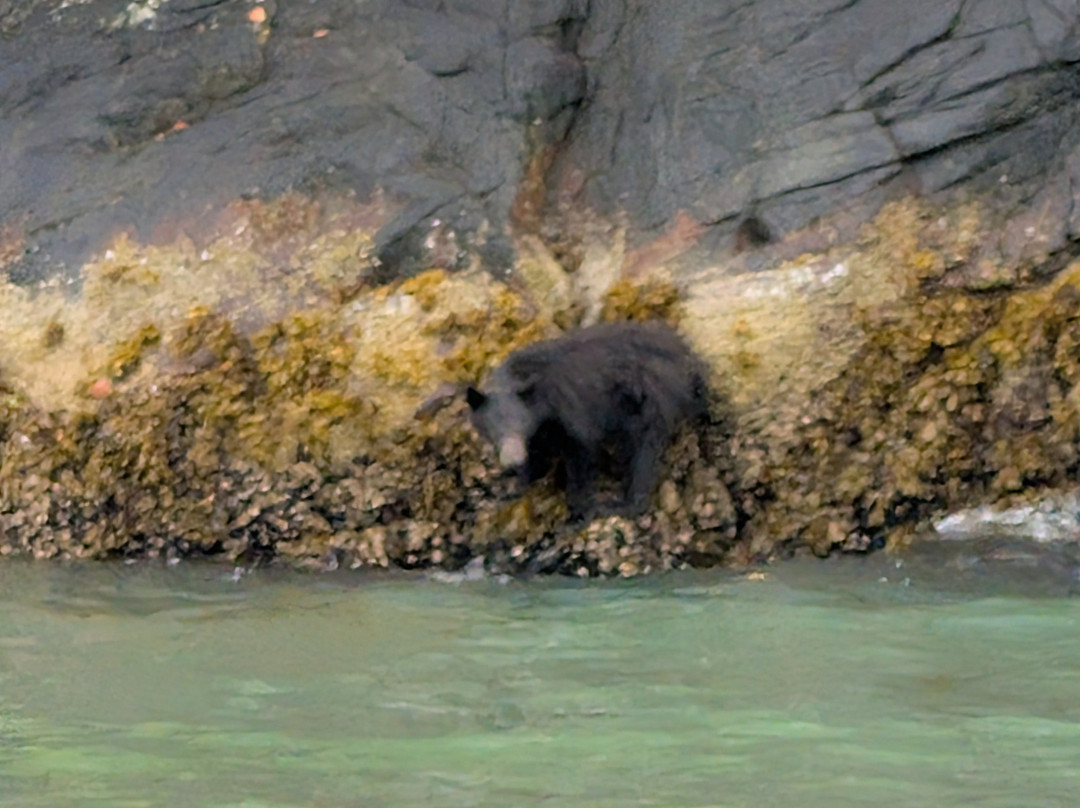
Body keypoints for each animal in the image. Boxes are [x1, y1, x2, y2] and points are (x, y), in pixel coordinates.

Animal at [466, 320, 710, 521]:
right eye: (494, 428)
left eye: (519, 424)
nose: (512, 460)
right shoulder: (541, 429)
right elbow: (538, 455)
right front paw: (513, 488)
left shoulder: (567, 409)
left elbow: (580, 451)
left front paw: (576, 513)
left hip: (651, 399)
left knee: (643, 451)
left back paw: (621, 504)